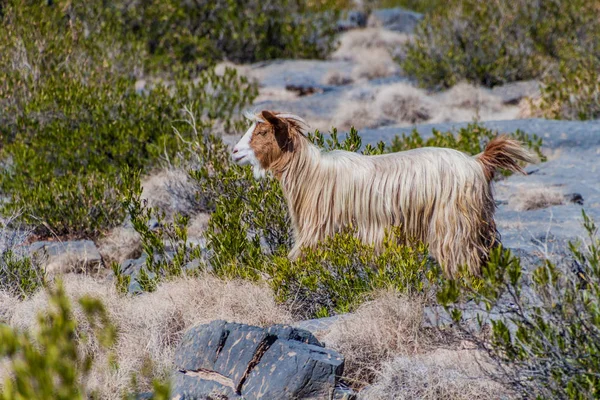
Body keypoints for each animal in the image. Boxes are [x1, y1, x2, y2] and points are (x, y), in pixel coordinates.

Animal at [232, 111, 536, 276]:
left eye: (262, 132)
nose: (234, 151)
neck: (312, 173)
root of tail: (477, 162)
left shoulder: (319, 232)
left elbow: (294, 261)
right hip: (479, 221)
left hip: (454, 223)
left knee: (463, 258)